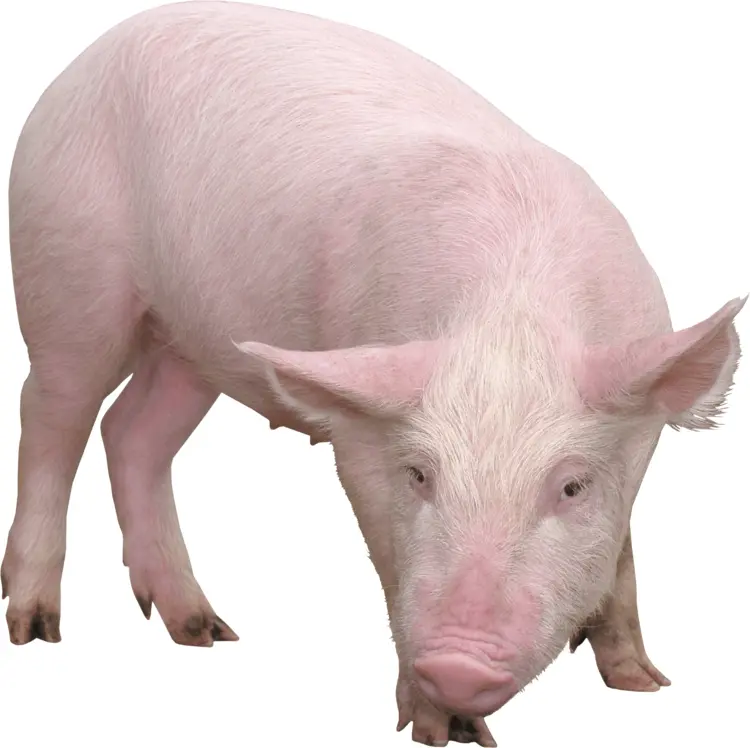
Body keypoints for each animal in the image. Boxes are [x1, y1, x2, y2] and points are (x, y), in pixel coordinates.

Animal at [2, 2, 744, 746]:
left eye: (571, 486)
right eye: (418, 475)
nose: (459, 665)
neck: (510, 319)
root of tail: (87, 58)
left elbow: (623, 551)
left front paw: (644, 684)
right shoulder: (360, 436)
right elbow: (388, 556)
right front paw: (448, 731)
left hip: (189, 342)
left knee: (132, 431)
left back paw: (204, 631)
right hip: (67, 273)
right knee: (50, 414)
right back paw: (35, 627)